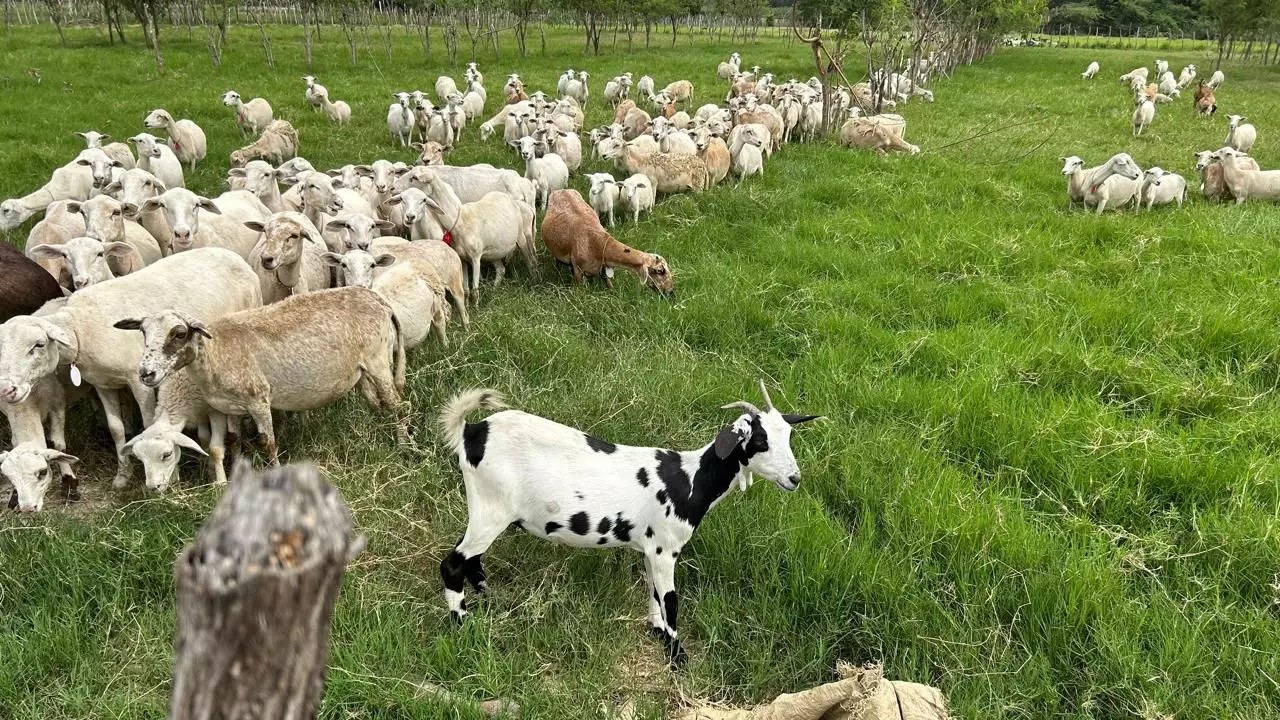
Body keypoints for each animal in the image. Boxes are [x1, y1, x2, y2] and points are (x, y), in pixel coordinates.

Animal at [540, 189, 675, 295]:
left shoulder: (603, 268)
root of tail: (561, 190)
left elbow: (610, 286)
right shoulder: (578, 270)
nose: (671, 292)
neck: (597, 243)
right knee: (557, 261)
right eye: (659, 271)